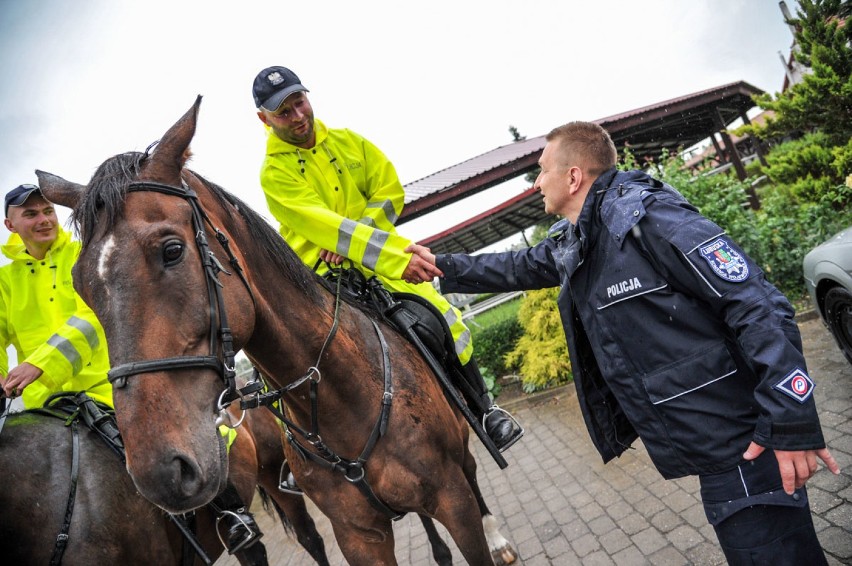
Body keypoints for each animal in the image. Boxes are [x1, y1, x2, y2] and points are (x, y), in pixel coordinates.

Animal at [40, 98, 516, 566]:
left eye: (171, 250)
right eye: (81, 286)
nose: (160, 471)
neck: (341, 398)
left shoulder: (452, 500)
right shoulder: (359, 536)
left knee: (474, 473)